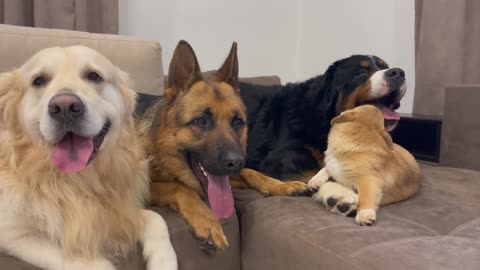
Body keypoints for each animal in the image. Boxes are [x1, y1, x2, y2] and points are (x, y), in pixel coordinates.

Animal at [0, 46, 176, 270]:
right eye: (38, 80)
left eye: (94, 76)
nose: (65, 107)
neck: (78, 180)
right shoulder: (14, 233)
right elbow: (89, 262)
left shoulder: (120, 213)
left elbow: (156, 217)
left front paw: (164, 260)